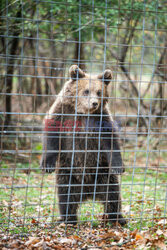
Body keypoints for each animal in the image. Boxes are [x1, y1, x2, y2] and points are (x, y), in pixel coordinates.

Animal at [40, 65, 126, 226]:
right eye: (86, 91)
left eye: (99, 92)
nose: (94, 103)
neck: (83, 113)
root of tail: (87, 192)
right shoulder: (63, 113)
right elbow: (52, 134)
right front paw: (47, 165)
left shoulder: (101, 120)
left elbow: (110, 141)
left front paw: (119, 166)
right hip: (68, 172)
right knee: (65, 196)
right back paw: (68, 219)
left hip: (103, 172)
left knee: (112, 194)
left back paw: (118, 218)